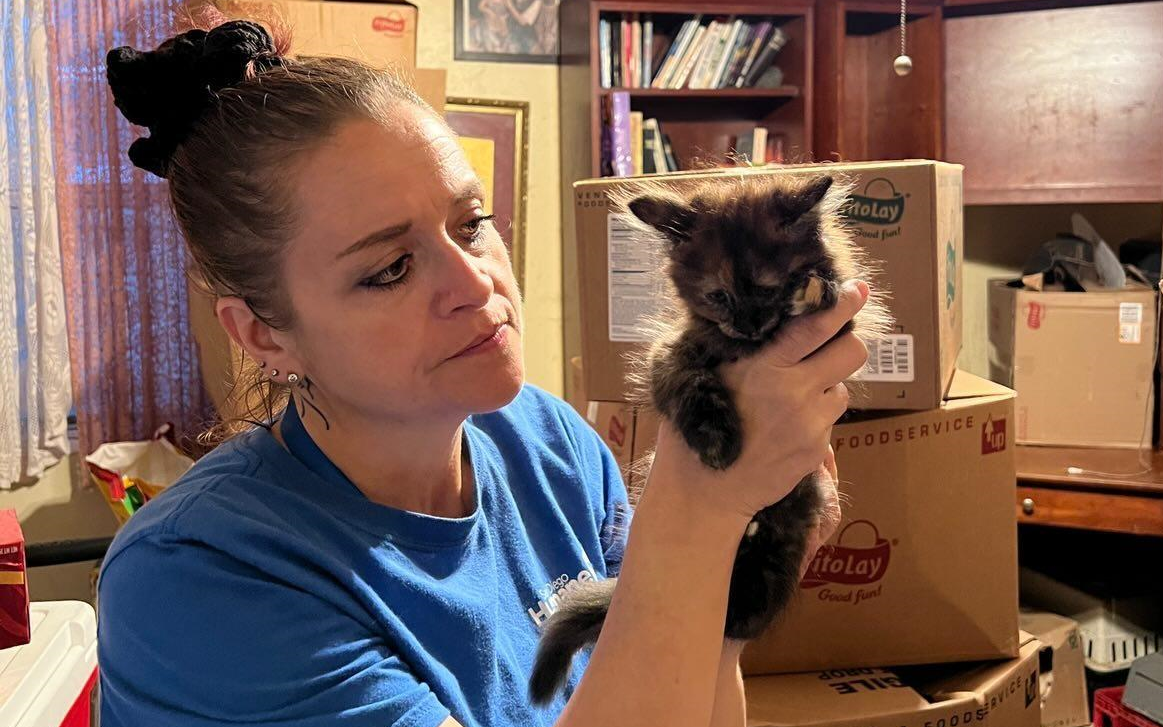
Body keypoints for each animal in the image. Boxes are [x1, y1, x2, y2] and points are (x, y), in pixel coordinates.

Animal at [532, 170, 893, 702]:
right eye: (718, 296)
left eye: (768, 289)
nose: (746, 326)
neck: (748, 347)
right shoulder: (671, 353)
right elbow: (688, 380)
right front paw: (716, 440)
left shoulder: (840, 332)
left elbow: (828, 297)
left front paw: (814, 288)